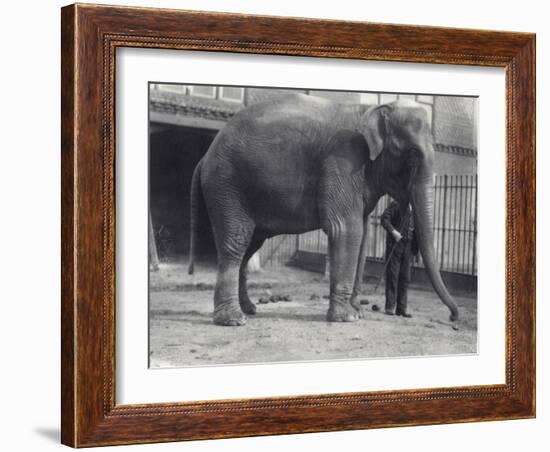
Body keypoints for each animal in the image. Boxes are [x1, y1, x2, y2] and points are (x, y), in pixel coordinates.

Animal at [190, 94, 462, 324]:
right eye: (413, 154)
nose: (454, 318)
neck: (371, 109)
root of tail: (205, 157)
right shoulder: (344, 159)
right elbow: (346, 229)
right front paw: (347, 317)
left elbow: (362, 234)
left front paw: (358, 312)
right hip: (227, 185)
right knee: (236, 241)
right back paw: (233, 320)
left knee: (249, 246)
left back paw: (250, 309)